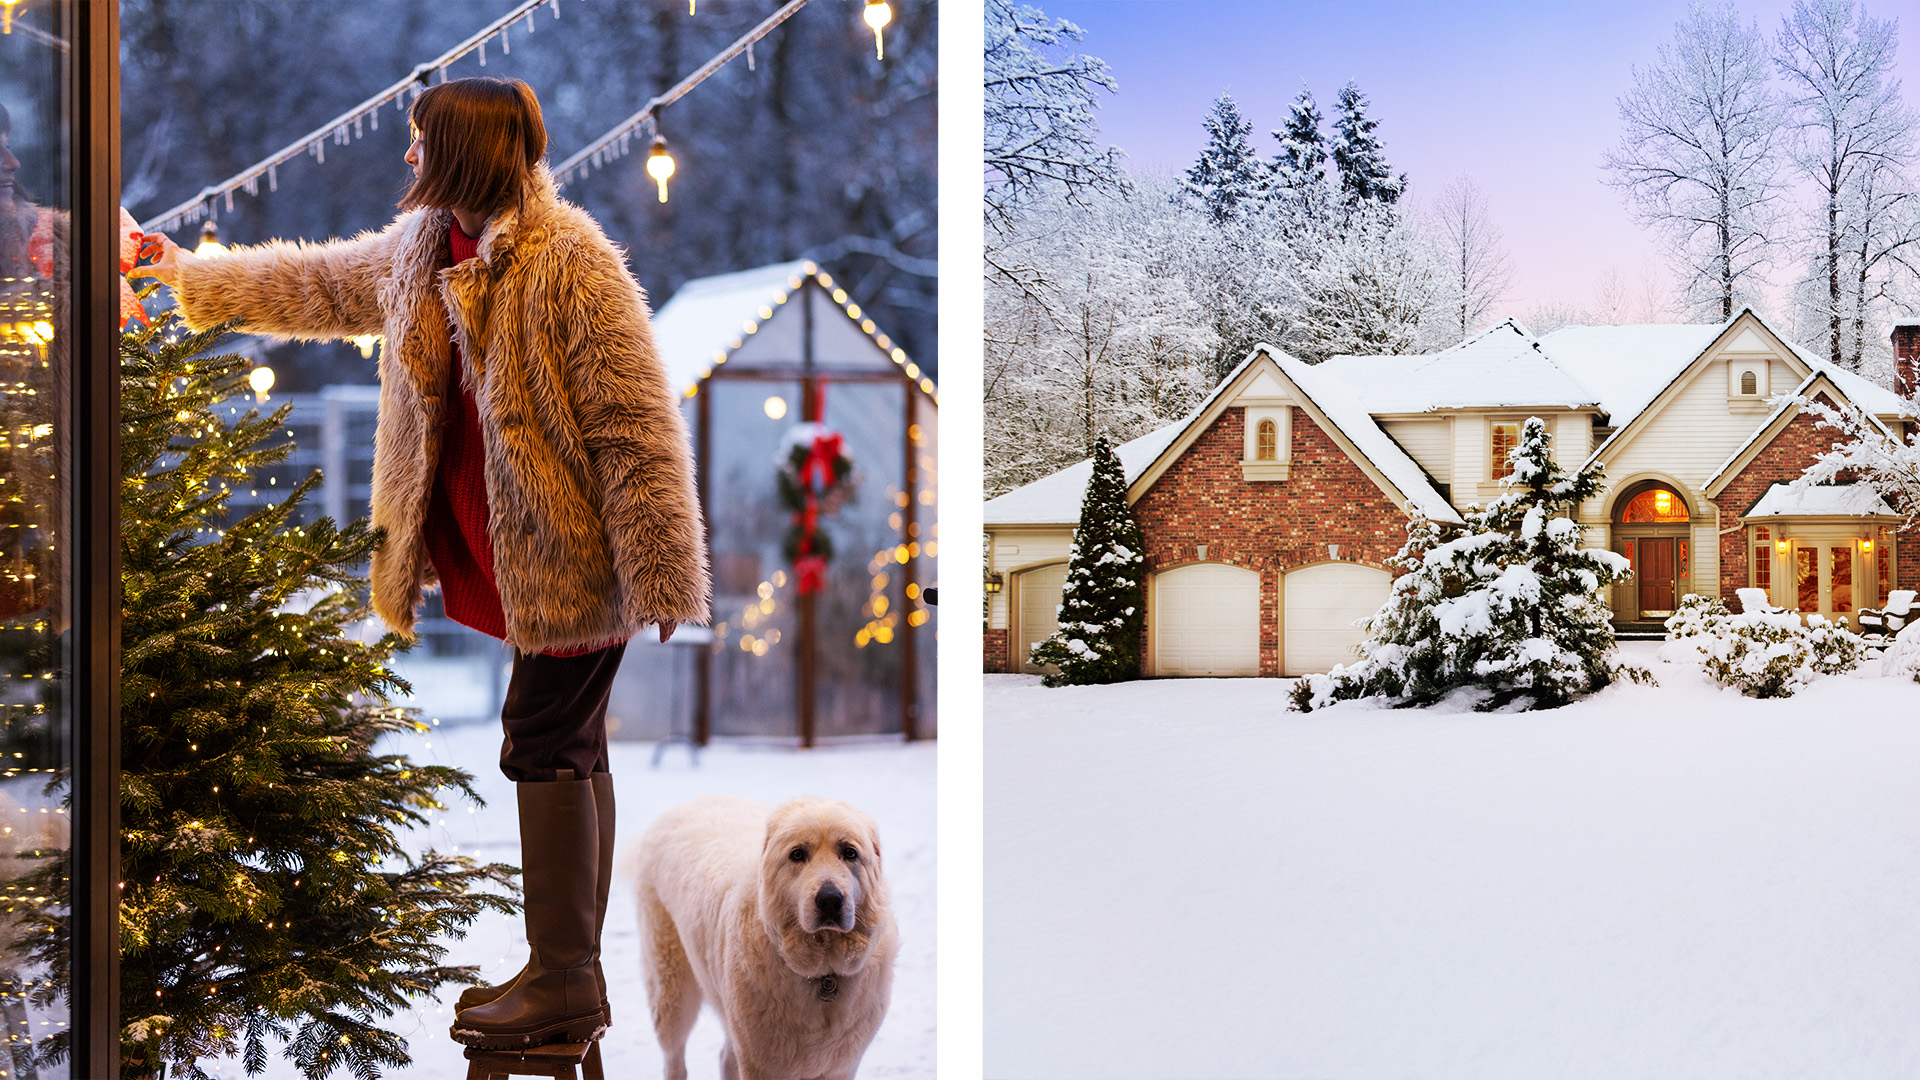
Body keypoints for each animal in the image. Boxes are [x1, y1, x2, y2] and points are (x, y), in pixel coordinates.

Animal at [633, 791, 894, 1076]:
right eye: (797, 854)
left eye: (849, 852)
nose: (829, 900)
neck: (823, 974)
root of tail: (691, 802)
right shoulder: (762, 1064)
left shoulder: (840, 1068)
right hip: (673, 992)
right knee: (674, 1057)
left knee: (726, 1057)